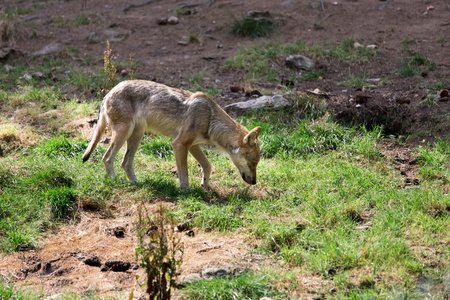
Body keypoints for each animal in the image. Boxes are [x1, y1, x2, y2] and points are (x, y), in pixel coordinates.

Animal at [82, 78, 262, 189]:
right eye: (253, 163)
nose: (254, 182)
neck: (210, 119)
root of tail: (108, 92)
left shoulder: (192, 146)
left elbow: (208, 165)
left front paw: (206, 185)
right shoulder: (179, 144)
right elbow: (185, 174)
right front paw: (186, 191)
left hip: (136, 136)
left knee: (125, 163)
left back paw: (137, 183)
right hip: (123, 134)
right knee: (107, 158)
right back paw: (115, 181)